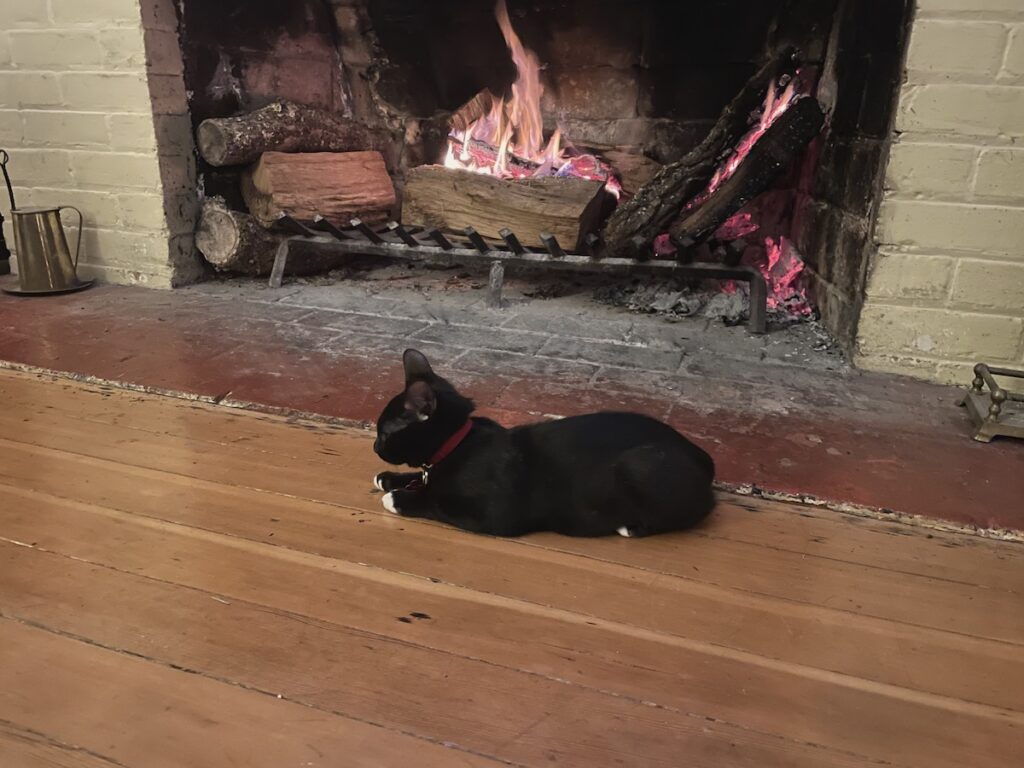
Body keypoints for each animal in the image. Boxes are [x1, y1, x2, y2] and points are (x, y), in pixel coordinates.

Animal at [372, 350, 716, 536]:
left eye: (384, 433)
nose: (375, 446)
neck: (458, 444)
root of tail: (703, 456)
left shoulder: (494, 513)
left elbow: (436, 502)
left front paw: (398, 498)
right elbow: (422, 479)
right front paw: (391, 479)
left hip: (641, 464)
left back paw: (630, 526)